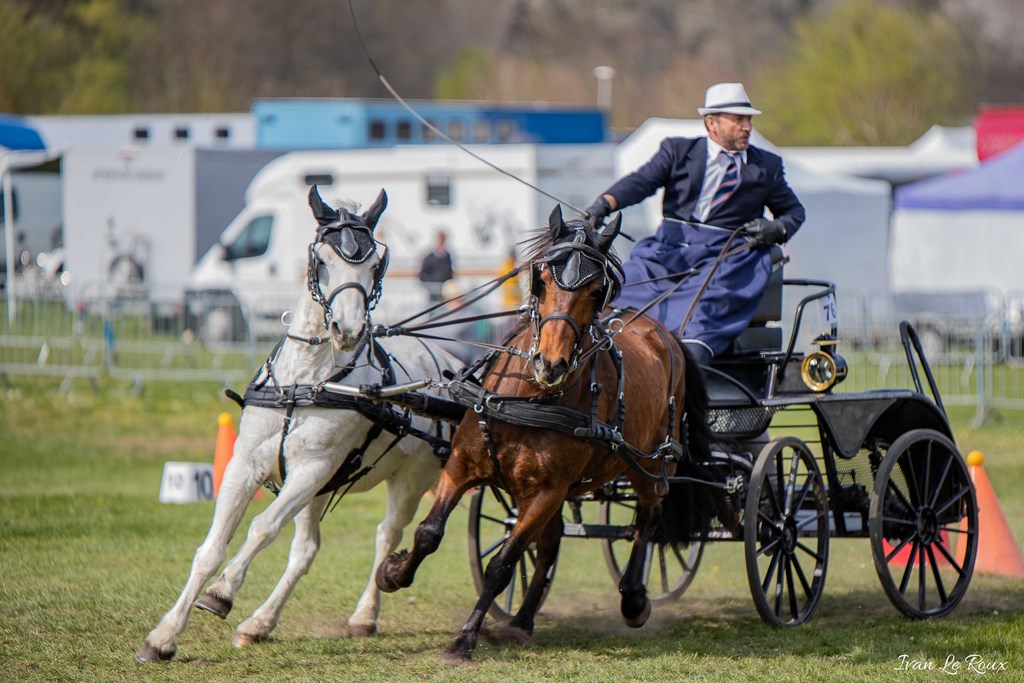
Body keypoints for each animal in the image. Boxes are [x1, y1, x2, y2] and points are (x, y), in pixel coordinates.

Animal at [135, 185, 460, 663]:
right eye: (321, 260)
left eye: (374, 265)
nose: (348, 330)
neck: (305, 380)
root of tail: (450, 367)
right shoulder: (245, 466)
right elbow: (211, 549)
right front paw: (163, 637)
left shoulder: (312, 471)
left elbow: (261, 528)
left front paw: (222, 592)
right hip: (318, 490)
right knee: (306, 550)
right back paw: (259, 624)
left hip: (407, 480)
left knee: (387, 535)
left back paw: (364, 615)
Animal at [374, 205, 712, 663]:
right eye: (542, 280)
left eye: (596, 291)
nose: (550, 364)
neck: (526, 400)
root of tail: (666, 335)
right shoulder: (462, 468)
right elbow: (429, 534)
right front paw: (393, 572)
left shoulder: (548, 492)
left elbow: (501, 565)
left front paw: (464, 639)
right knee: (552, 542)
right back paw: (522, 621)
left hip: (651, 466)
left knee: (648, 519)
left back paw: (633, 598)